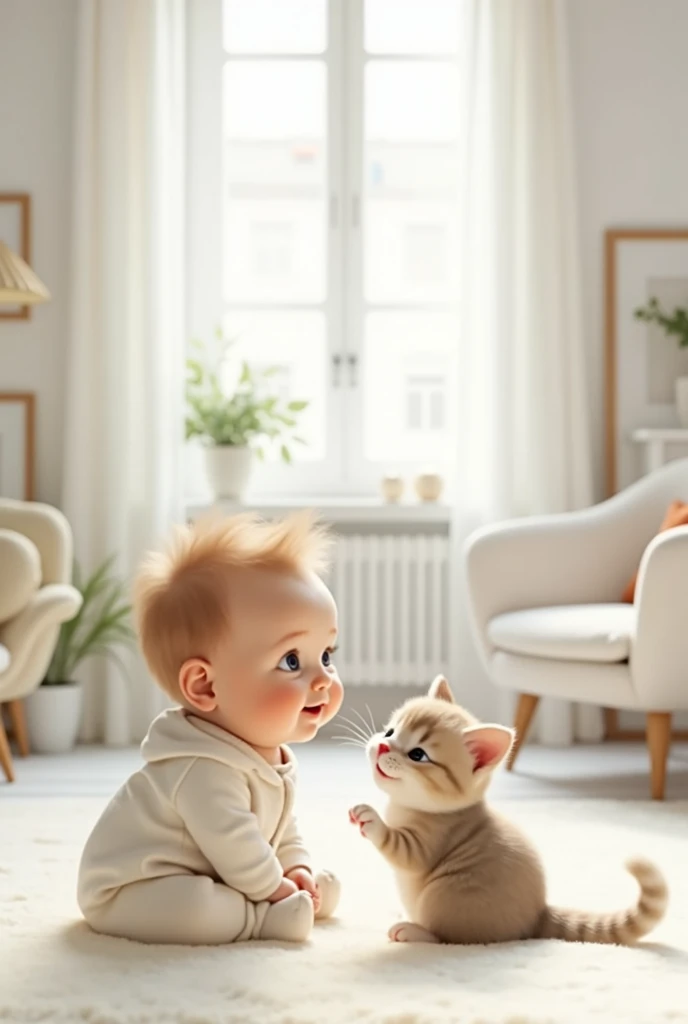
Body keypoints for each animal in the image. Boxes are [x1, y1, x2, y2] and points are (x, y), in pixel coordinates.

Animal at [350, 675, 667, 946]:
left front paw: (373, 820)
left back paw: (415, 931)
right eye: (390, 731)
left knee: (449, 937)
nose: (382, 746)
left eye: (418, 754)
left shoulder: (430, 840)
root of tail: (538, 915)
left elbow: (403, 851)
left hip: (444, 896)